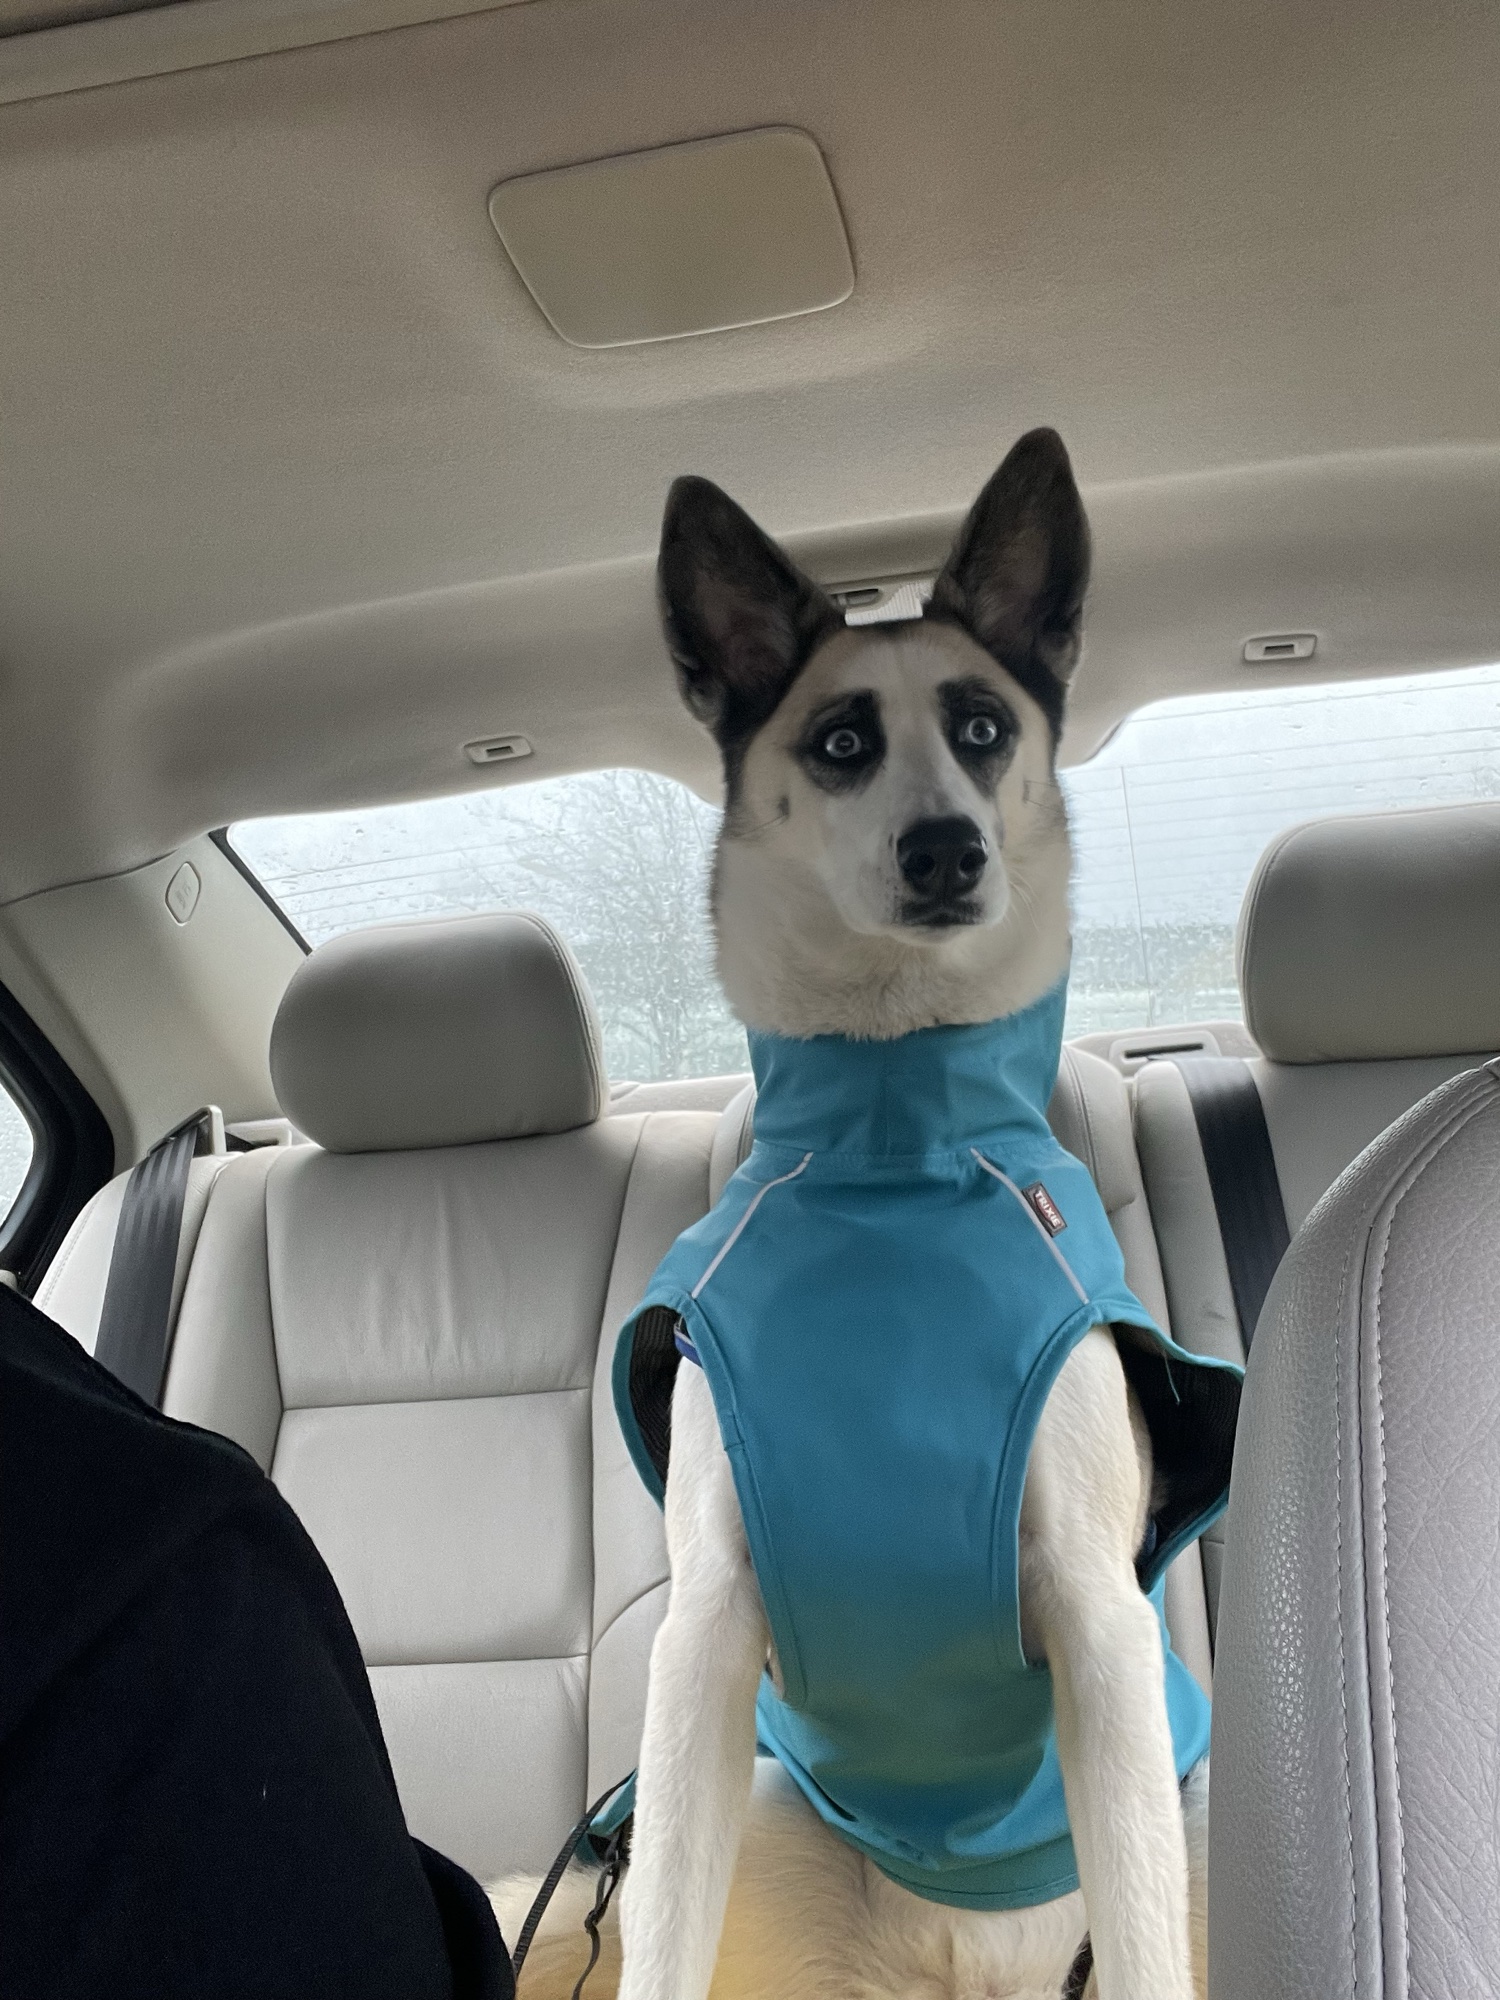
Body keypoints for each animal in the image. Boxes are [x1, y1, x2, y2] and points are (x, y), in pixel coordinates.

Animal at [494, 430, 1233, 2000]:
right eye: (840, 743)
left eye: (985, 728)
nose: (948, 849)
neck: (894, 1155)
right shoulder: (706, 1638)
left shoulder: (1102, 1633)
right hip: (755, 1826)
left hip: (1192, 1814)